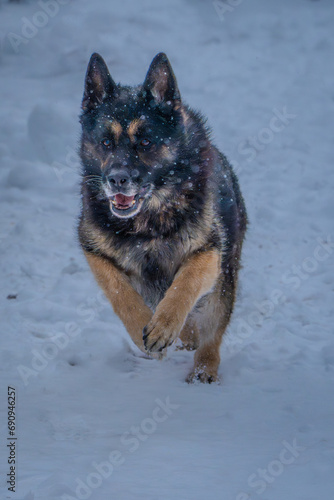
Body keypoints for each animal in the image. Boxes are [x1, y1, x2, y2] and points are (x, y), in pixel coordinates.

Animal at [77, 51, 247, 382]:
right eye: (105, 142)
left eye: (145, 142)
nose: (117, 180)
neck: (148, 218)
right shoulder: (94, 251)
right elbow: (120, 293)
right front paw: (143, 326)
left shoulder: (208, 251)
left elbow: (185, 284)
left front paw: (164, 325)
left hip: (225, 277)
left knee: (213, 329)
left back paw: (204, 369)